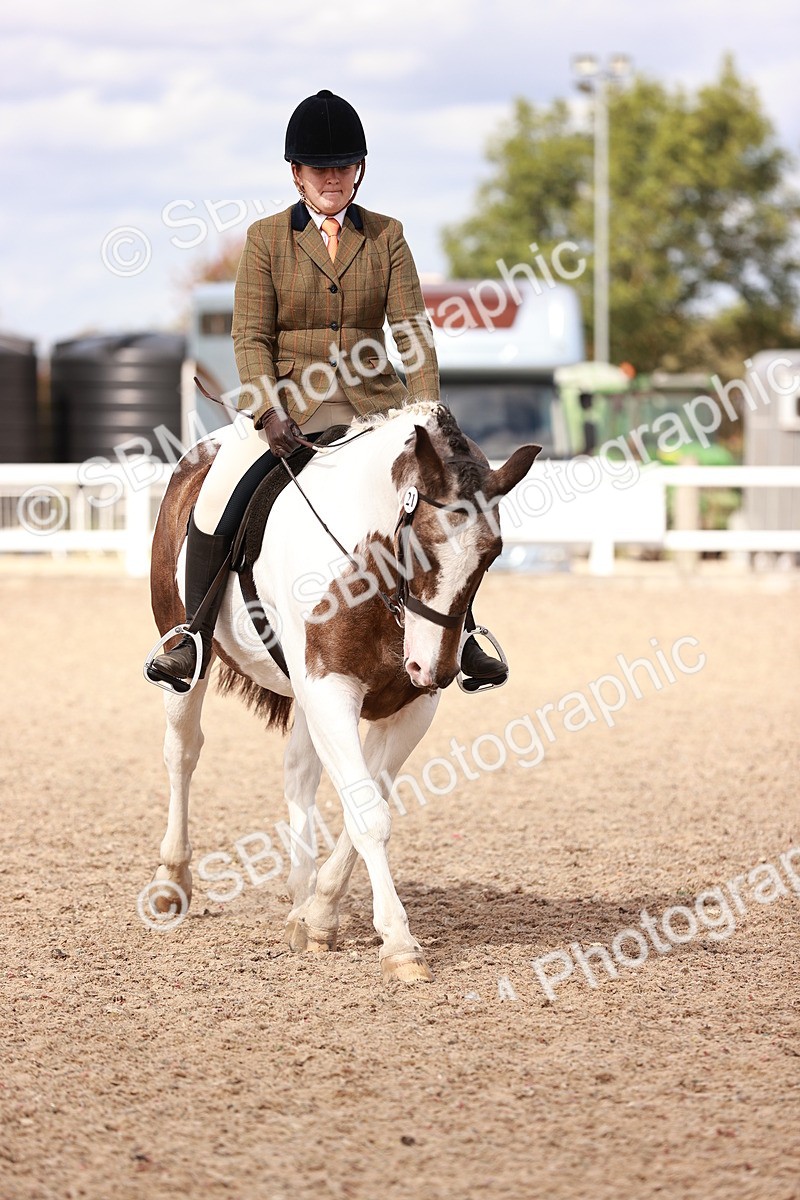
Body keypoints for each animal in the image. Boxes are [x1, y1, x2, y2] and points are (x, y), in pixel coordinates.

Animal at [146, 400, 540, 982]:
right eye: (420, 547)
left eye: (491, 555)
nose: (435, 669)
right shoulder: (330, 689)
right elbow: (368, 814)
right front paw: (398, 944)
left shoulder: (409, 707)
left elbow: (368, 801)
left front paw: (321, 916)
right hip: (186, 651)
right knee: (182, 752)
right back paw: (172, 882)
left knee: (299, 774)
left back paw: (299, 897)